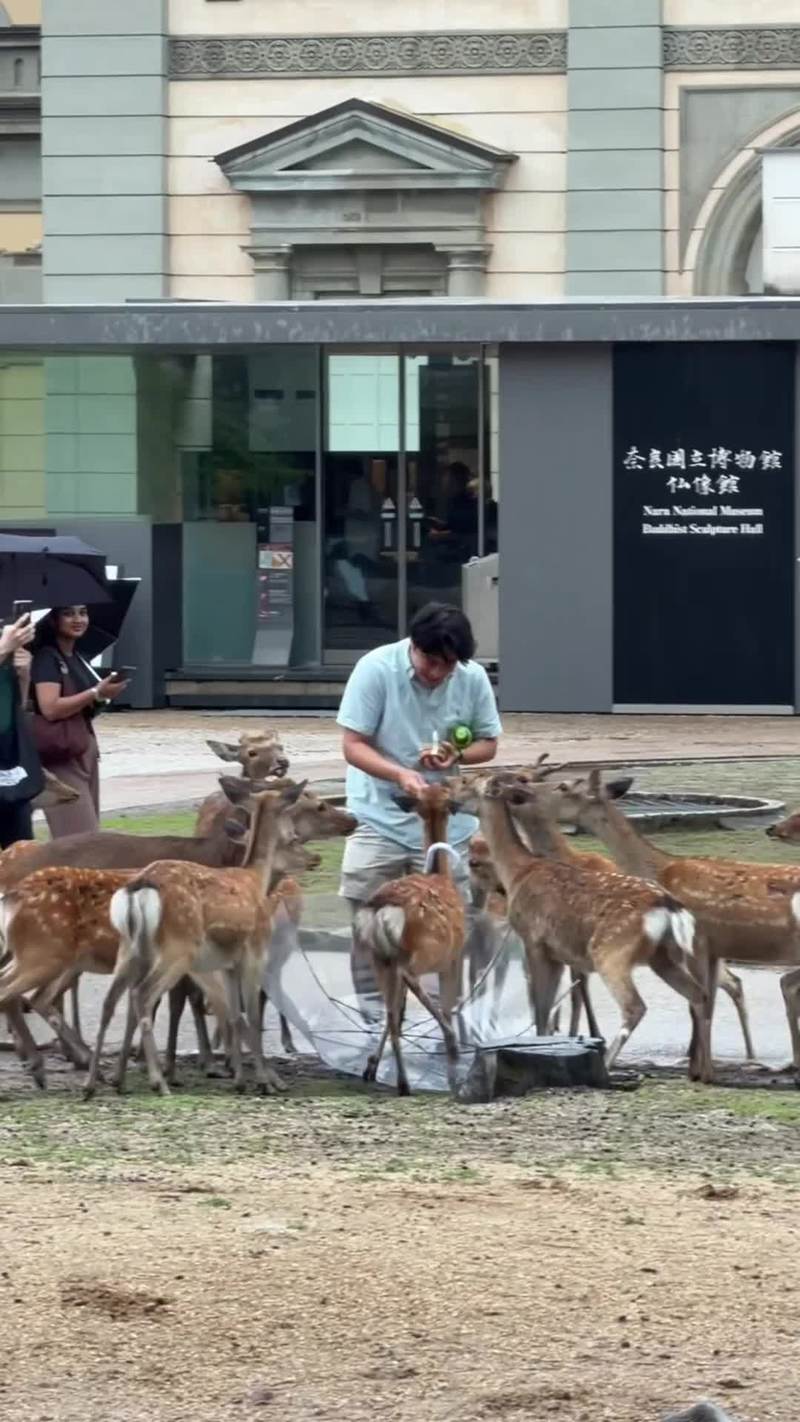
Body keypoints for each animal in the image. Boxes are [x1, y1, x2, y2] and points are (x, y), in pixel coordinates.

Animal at [85, 779, 308, 1099]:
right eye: (293, 836)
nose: (312, 856)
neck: (257, 880)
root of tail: (140, 887)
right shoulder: (254, 953)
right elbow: (252, 1016)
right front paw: (263, 1081)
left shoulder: (229, 963)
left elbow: (234, 1015)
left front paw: (240, 1080)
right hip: (177, 948)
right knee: (143, 995)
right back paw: (159, 1081)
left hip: (129, 949)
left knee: (112, 1001)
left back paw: (95, 1083)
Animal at [355, 782, 467, 1097]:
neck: (441, 875)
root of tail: (382, 910)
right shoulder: (454, 956)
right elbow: (449, 1004)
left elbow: (399, 1010)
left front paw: (371, 1066)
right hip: (420, 951)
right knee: (409, 984)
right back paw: (449, 1047)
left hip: (377, 956)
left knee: (392, 1014)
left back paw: (399, 1080)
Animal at [474, 772, 709, 1074]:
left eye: (473, 784)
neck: (517, 872)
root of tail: (669, 907)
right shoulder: (560, 952)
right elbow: (556, 1001)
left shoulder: (535, 941)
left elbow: (544, 1004)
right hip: (664, 956)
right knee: (700, 995)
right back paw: (701, 1070)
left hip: (610, 952)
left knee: (635, 1006)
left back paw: (609, 1062)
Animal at [549, 770, 800, 1081]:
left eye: (565, 787)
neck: (660, 869)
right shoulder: (712, 948)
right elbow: (706, 1000)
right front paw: (699, 1066)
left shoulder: (696, 941)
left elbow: (699, 1002)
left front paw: (700, 1070)